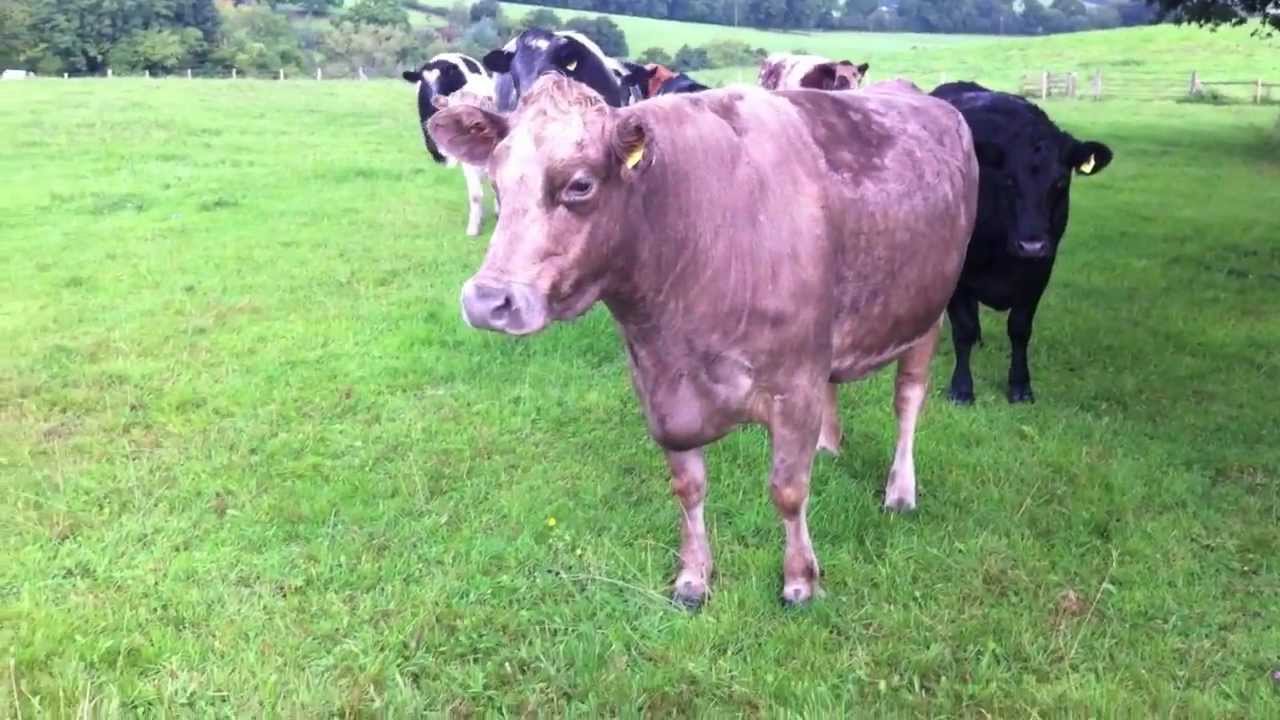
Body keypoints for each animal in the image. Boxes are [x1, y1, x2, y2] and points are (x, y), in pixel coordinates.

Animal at [428, 74, 979, 607]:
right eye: (495, 182)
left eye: (580, 184)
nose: (487, 300)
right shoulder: (659, 389)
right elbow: (688, 487)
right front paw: (693, 578)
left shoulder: (794, 385)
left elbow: (788, 490)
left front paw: (800, 582)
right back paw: (828, 445)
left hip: (929, 310)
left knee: (908, 399)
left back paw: (900, 491)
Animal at [931, 81, 1113, 404]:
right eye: (1008, 180)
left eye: (1060, 182)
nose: (1031, 245)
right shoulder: (958, 267)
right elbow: (963, 329)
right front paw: (962, 388)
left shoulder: (1040, 269)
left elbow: (1020, 328)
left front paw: (1020, 385)